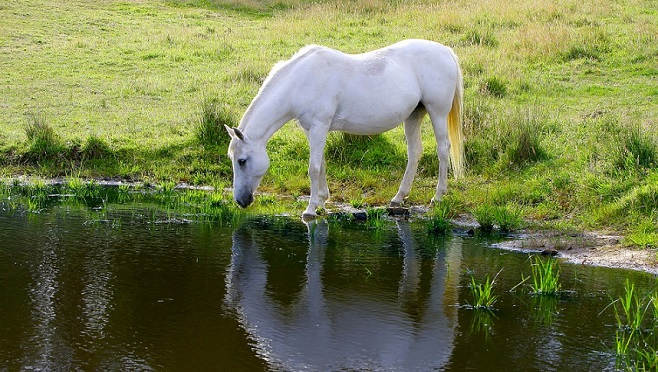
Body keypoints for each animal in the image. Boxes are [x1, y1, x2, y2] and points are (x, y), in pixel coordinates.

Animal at [226, 38, 462, 217]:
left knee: (443, 150)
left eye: (242, 161)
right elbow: (321, 164)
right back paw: (398, 197)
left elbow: (314, 168)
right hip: (414, 116)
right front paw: (322, 200)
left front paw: (310, 209)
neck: (301, 80)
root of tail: (446, 51)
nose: (241, 201)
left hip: (437, 113)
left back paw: (438, 196)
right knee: (414, 153)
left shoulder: (319, 126)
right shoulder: (312, 129)